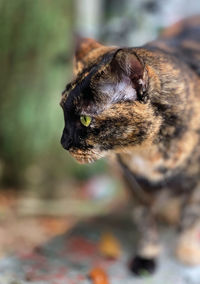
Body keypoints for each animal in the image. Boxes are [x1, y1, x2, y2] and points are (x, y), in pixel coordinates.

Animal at [60, 16, 200, 276]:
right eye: (62, 109)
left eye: (85, 119)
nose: (63, 142)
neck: (148, 153)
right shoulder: (134, 183)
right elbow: (146, 221)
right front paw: (147, 256)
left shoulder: (197, 184)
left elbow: (191, 216)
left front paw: (187, 250)